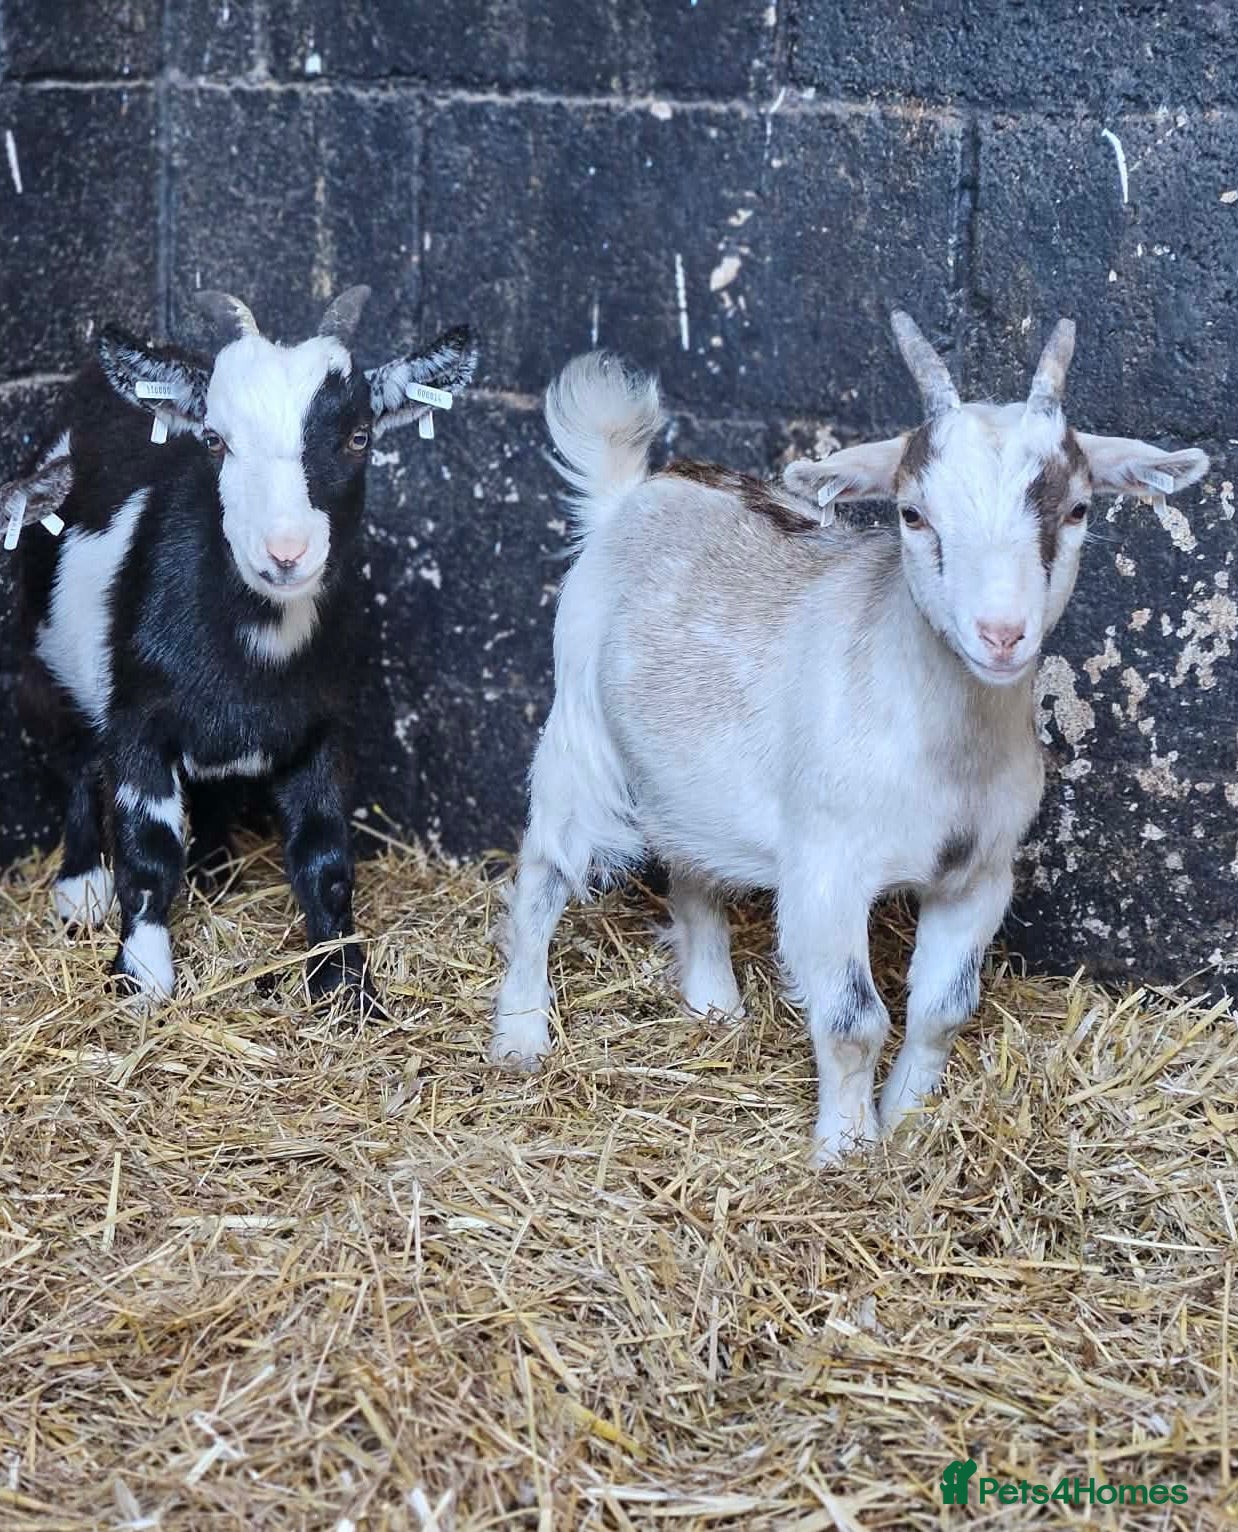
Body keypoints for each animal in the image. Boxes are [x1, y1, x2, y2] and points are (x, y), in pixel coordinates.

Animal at [10, 286, 476, 1011]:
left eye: (359, 437)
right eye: (214, 439)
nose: (285, 552)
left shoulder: (323, 726)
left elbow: (324, 855)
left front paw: (345, 985)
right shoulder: (139, 720)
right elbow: (148, 849)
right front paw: (141, 980)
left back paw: (215, 869)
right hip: (41, 661)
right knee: (73, 758)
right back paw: (81, 885)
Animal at [492, 313, 1209, 1163]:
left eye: (1076, 512)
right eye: (913, 514)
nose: (1002, 635)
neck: (945, 745)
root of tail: (630, 495)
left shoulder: (980, 874)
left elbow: (942, 1009)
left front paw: (911, 1122)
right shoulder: (825, 870)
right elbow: (851, 1020)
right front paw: (846, 1150)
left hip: (689, 776)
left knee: (691, 869)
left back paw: (713, 1005)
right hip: (579, 727)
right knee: (544, 871)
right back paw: (520, 1036)